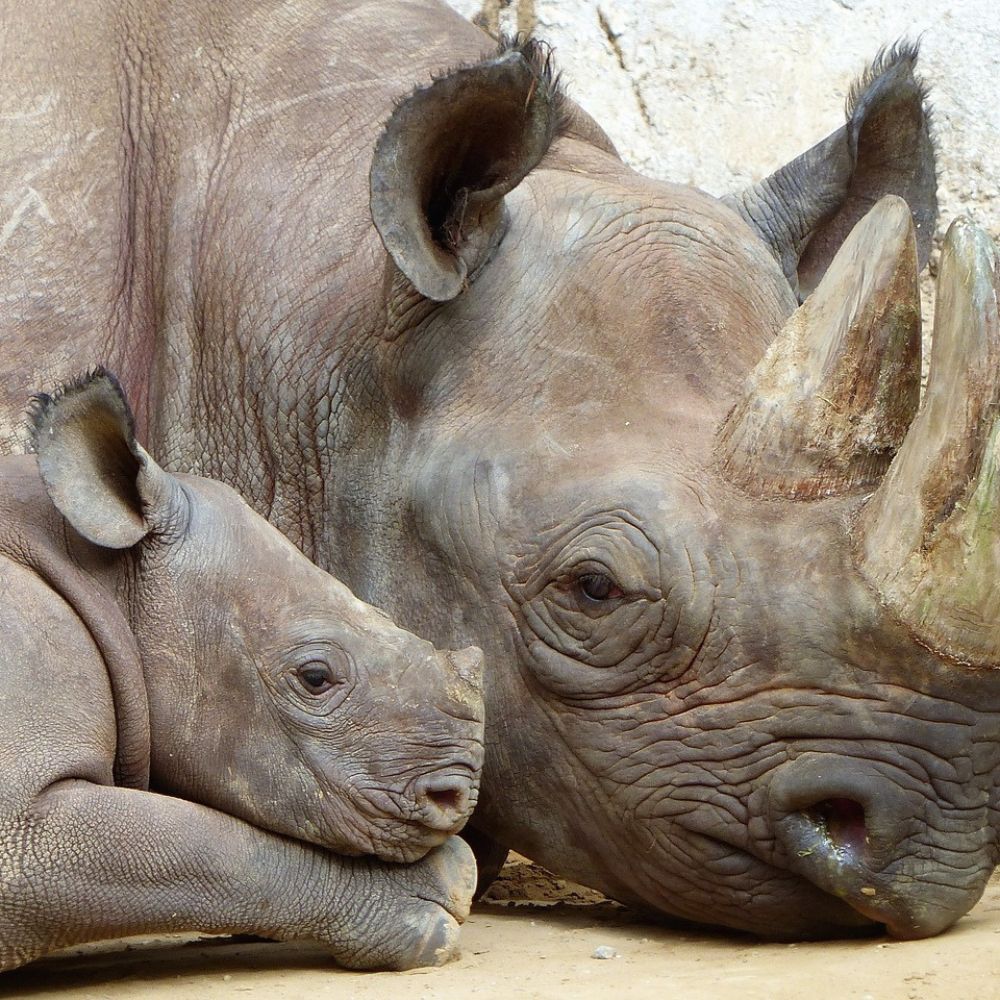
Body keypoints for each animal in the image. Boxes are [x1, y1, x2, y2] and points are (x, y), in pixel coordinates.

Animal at [0, 370, 484, 973]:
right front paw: (437, 894)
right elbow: (220, 851)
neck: (106, 573)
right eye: (315, 677)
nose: (458, 796)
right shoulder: (26, 828)